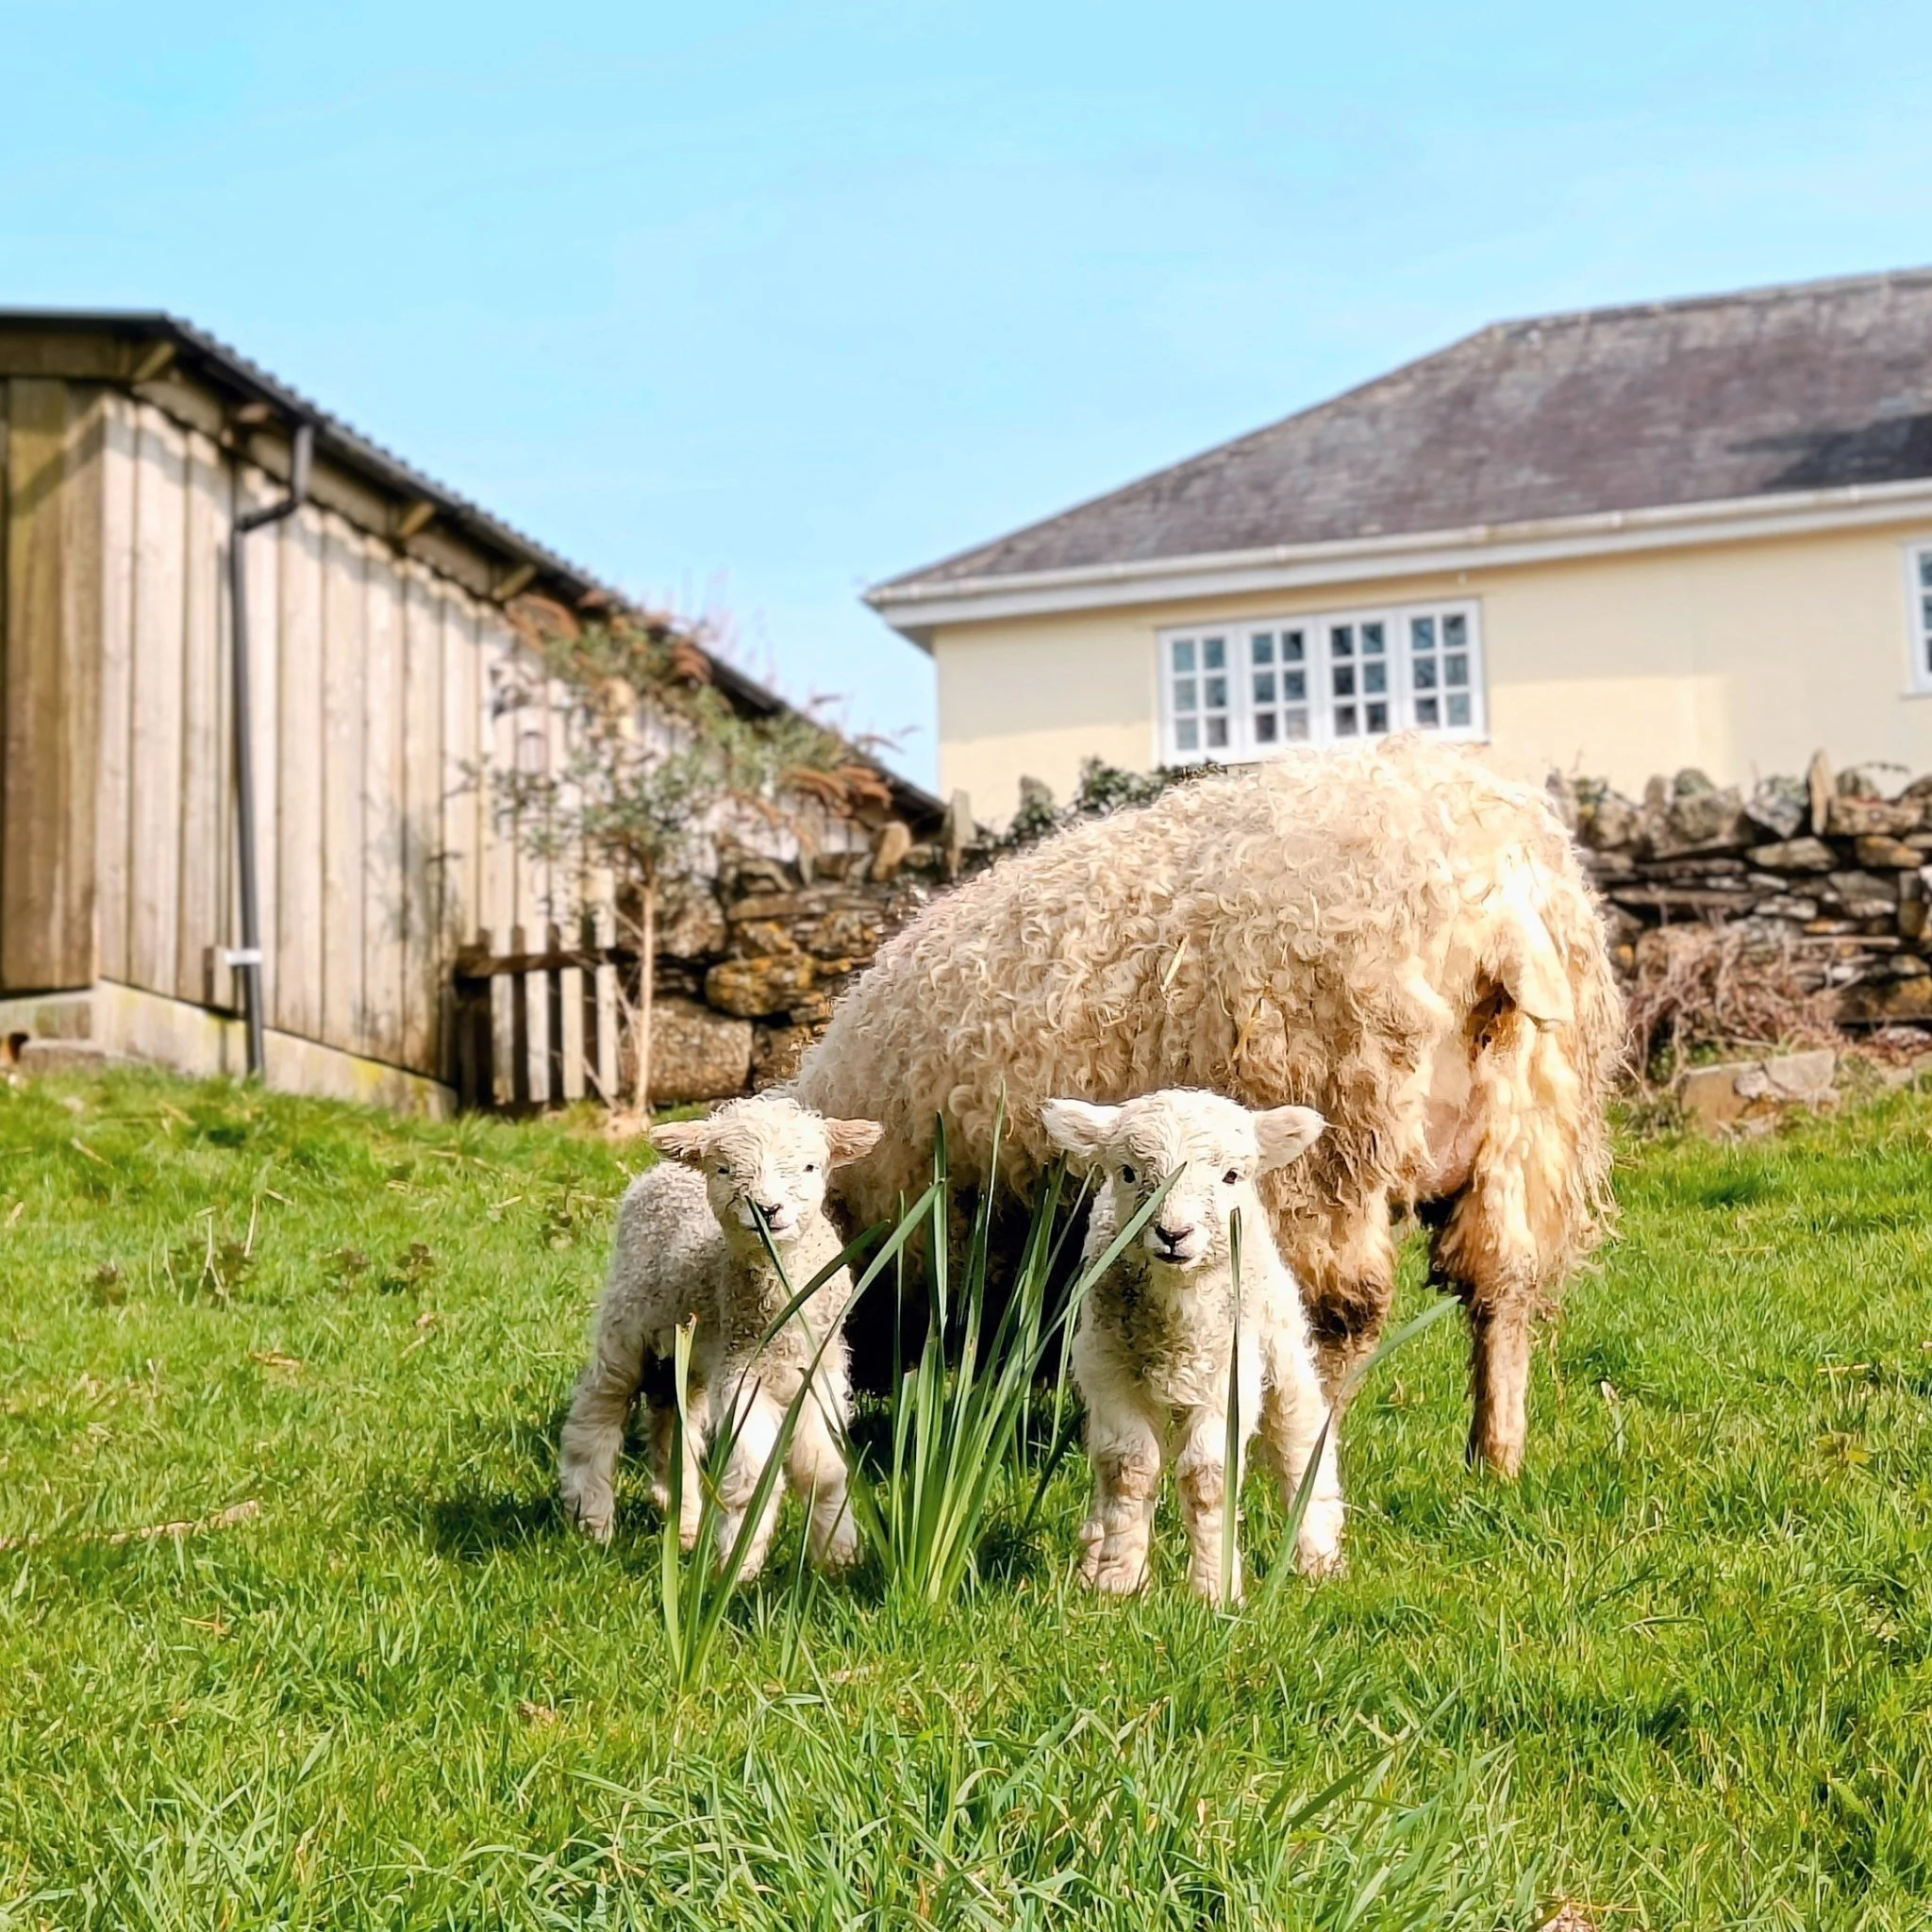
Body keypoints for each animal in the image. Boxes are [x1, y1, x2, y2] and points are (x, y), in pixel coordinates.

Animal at [558, 1095, 883, 1578]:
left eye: (810, 1167)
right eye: (725, 1169)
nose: (767, 1210)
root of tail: (661, 1171)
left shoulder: (819, 1372)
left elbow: (823, 1471)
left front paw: (838, 1558)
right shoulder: (741, 1371)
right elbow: (752, 1477)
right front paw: (739, 1568)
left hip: (685, 1351)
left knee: (673, 1427)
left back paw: (686, 1523)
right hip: (626, 1325)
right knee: (597, 1410)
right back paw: (592, 1517)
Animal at [792, 736, 1622, 1478]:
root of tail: (1496, 886)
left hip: (1321, 1139)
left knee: (1335, 1314)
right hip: (1527, 1131)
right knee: (1503, 1282)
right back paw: (1496, 1459)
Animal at [1043, 1089, 1343, 1603]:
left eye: (1231, 1175)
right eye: (1128, 1172)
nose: (1173, 1234)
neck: (1177, 1314)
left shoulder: (1230, 1374)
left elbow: (1209, 1476)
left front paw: (1214, 1591)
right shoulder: (1108, 1369)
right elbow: (1126, 1468)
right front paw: (1118, 1582)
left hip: (1279, 1334)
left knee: (1301, 1434)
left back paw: (1319, 1558)